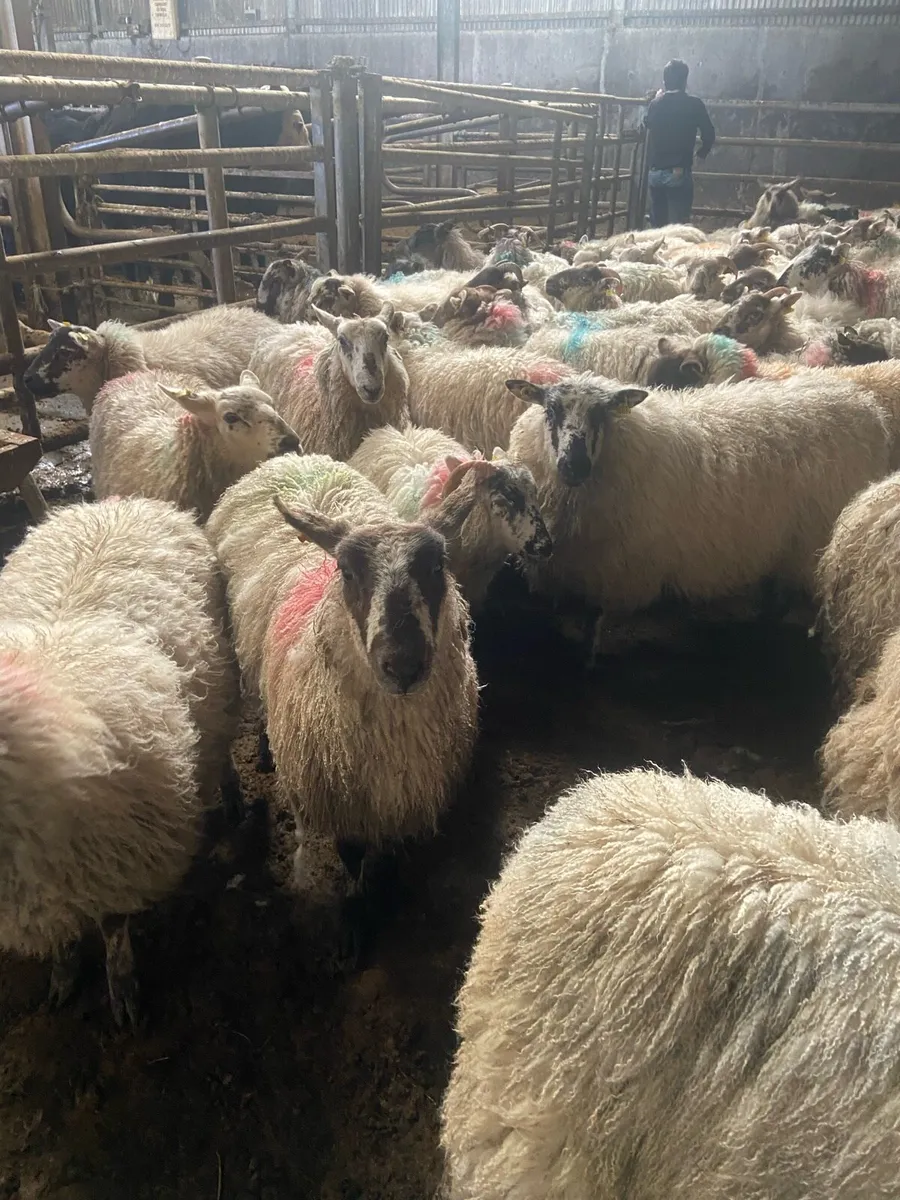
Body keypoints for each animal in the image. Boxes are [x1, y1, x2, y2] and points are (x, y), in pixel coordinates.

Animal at [0, 497, 239, 1025]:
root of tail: (118, 503)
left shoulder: (123, 857)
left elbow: (113, 933)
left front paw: (123, 992)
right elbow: (62, 941)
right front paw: (63, 978)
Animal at [206, 453, 479, 888]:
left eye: (438, 566)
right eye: (346, 571)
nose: (403, 665)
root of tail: (293, 457)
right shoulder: (346, 814)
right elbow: (351, 856)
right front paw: (359, 892)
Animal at [505, 371, 890, 622]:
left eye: (602, 413)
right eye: (550, 411)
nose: (574, 466)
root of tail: (864, 405)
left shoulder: (624, 580)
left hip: (808, 548)